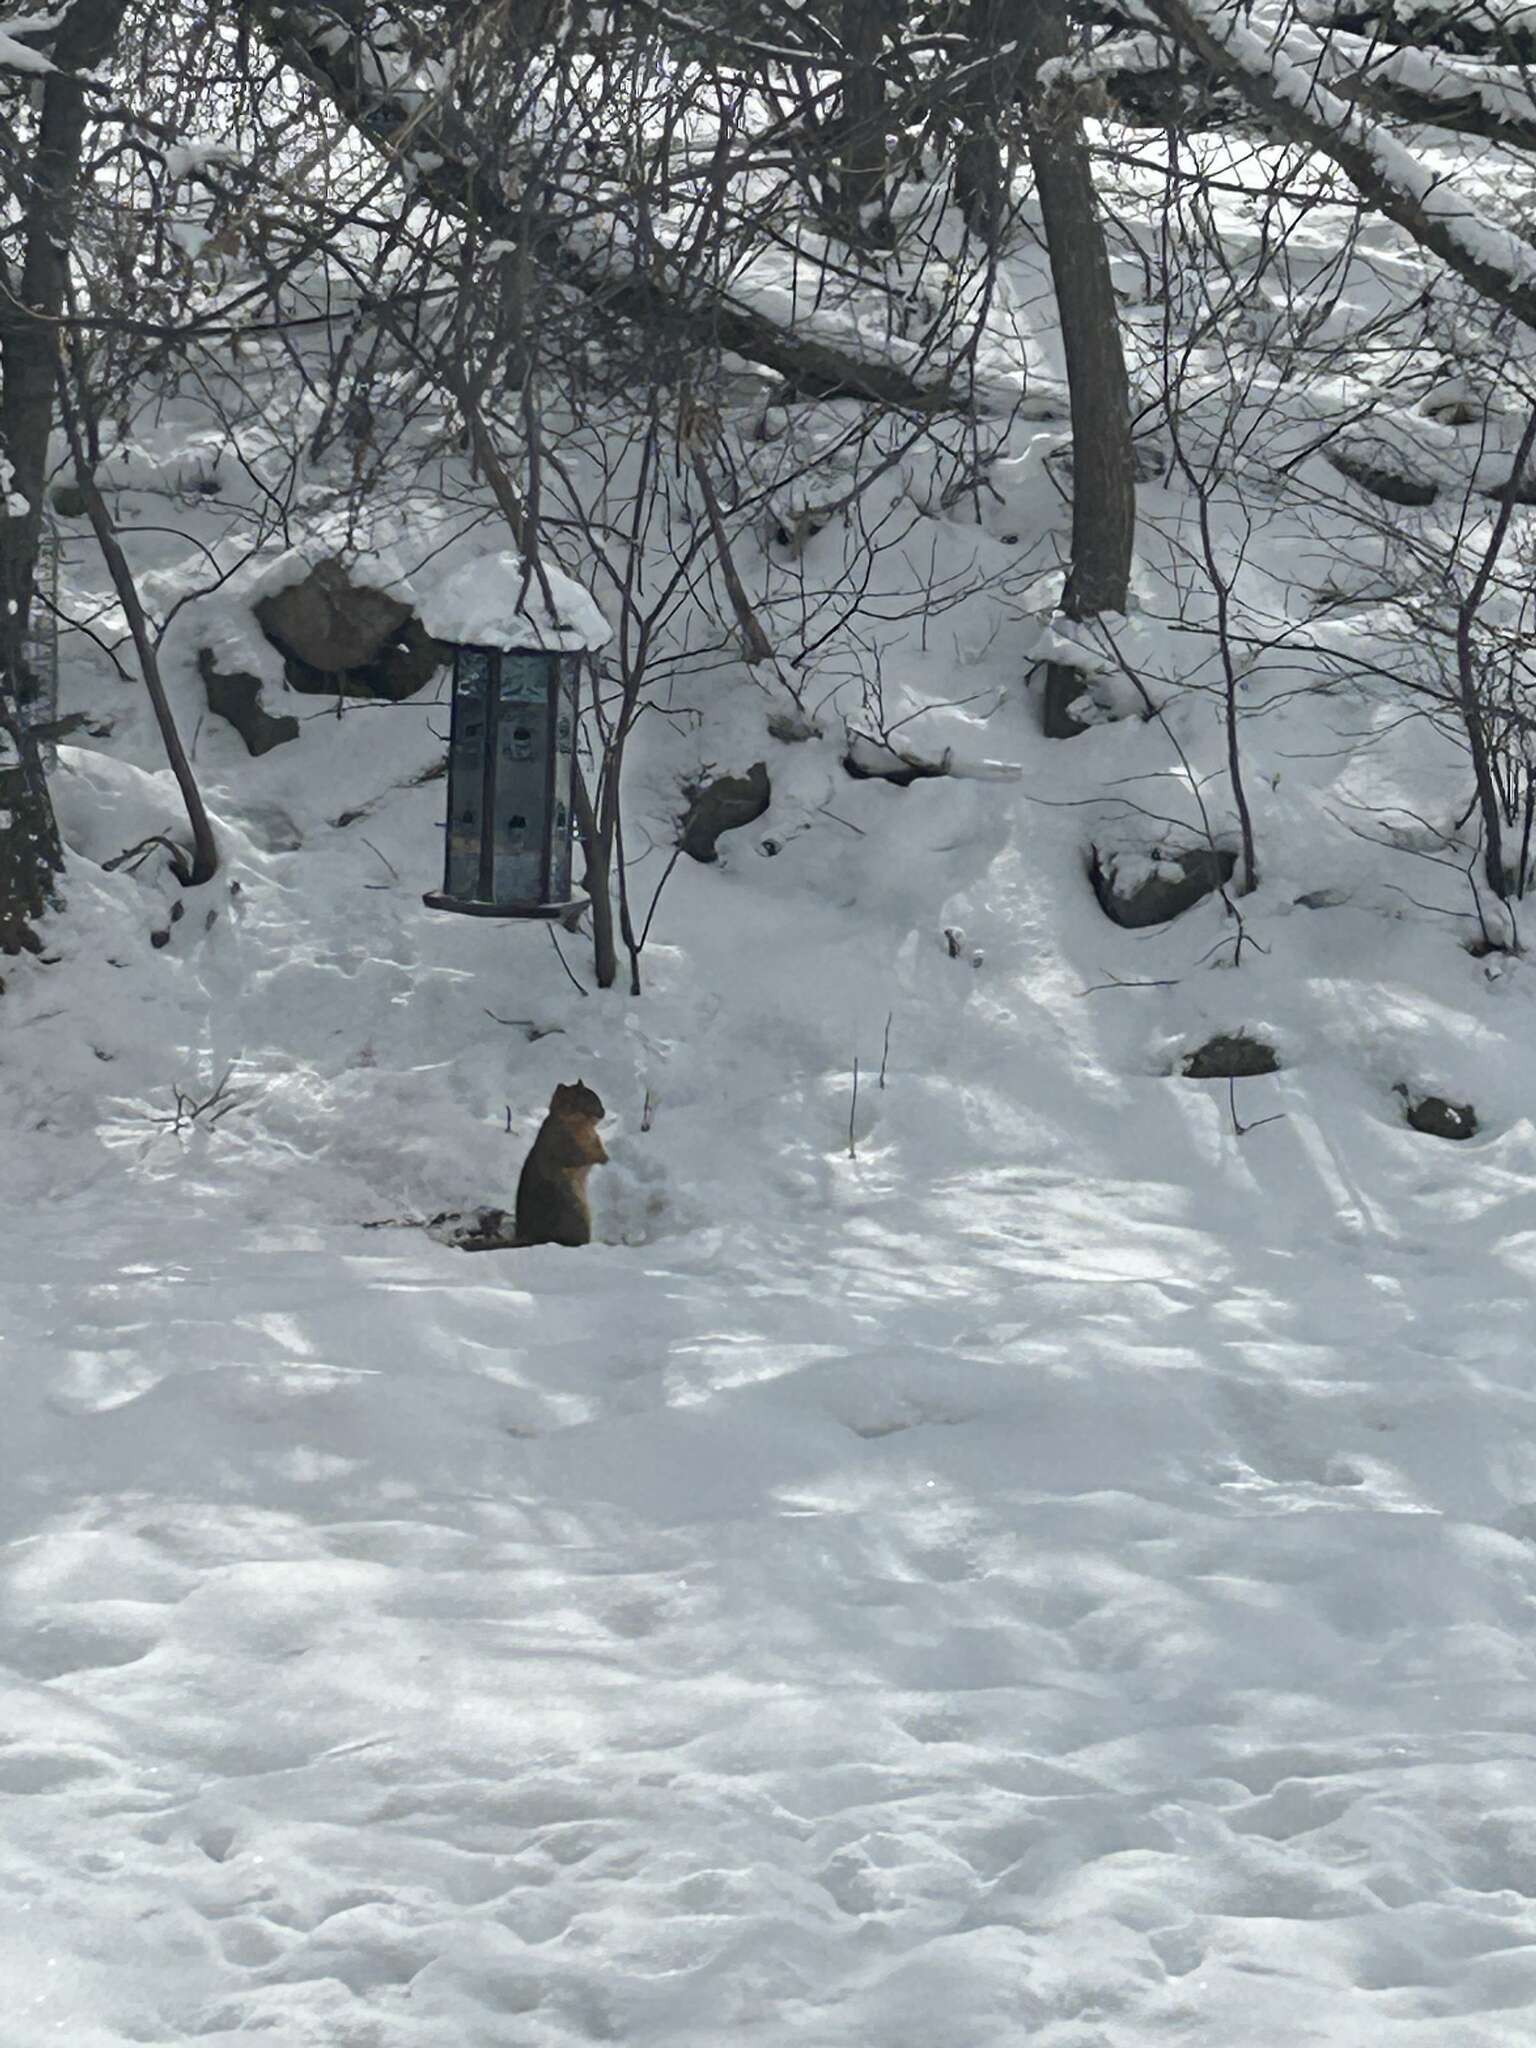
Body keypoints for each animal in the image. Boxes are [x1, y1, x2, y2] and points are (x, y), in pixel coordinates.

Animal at [520, 1081, 610, 1236]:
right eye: (584, 1100)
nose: (603, 1112)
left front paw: (604, 1153)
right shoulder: (562, 1143)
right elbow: (578, 1157)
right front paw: (601, 1157)